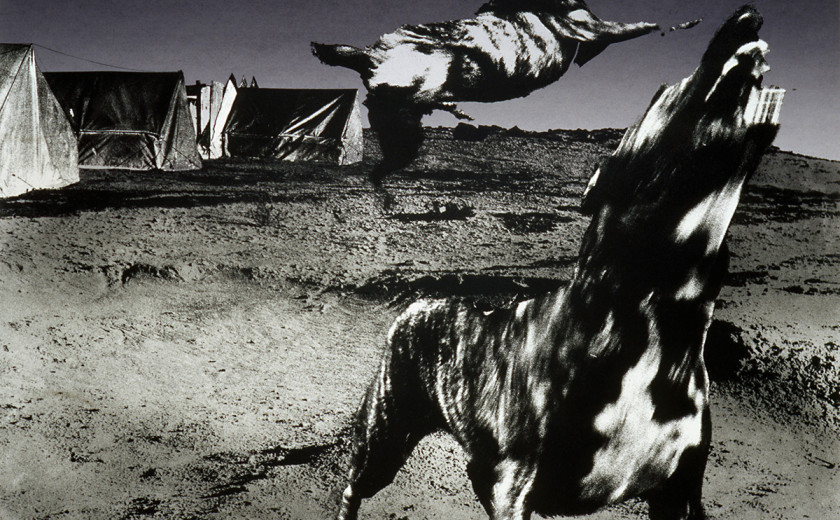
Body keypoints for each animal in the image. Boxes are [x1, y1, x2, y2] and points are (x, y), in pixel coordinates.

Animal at [311, 0, 688, 192]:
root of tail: (370, 58)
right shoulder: (588, 27)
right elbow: (632, 28)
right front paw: (673, 24)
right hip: (407, 107)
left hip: (402, 112)